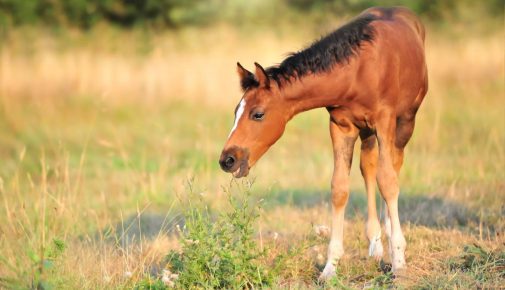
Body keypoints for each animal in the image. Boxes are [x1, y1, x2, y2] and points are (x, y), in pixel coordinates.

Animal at [219, 5, 428, 280]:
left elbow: (389, 181)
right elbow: (339, 188)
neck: (357, 72)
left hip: (406, 122)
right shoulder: (341, 126)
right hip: (367, 132)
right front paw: (330, 267)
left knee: (392, 167)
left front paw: (399, 261)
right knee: (369, 167)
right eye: (235, 111)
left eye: (258, 114)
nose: (228, 160)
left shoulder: (386, 122)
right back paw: (375, 243)